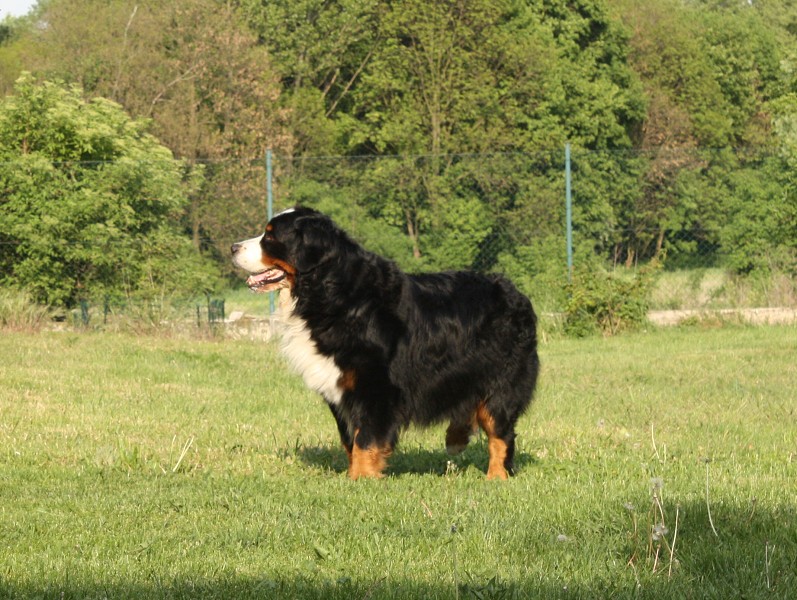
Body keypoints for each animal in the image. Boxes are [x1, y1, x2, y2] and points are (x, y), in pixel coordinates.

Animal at [232, 209, 540, 480]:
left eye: (270, 236)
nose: (233, 247)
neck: (331, 294)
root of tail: (516, 292)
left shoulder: (374, 386)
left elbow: (365, 438)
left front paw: (361, 479)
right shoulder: (340, 388)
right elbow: (349, 439)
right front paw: (355, 473)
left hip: (500, 381)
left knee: (500, 431)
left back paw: (496, 476)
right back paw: (457, 438)